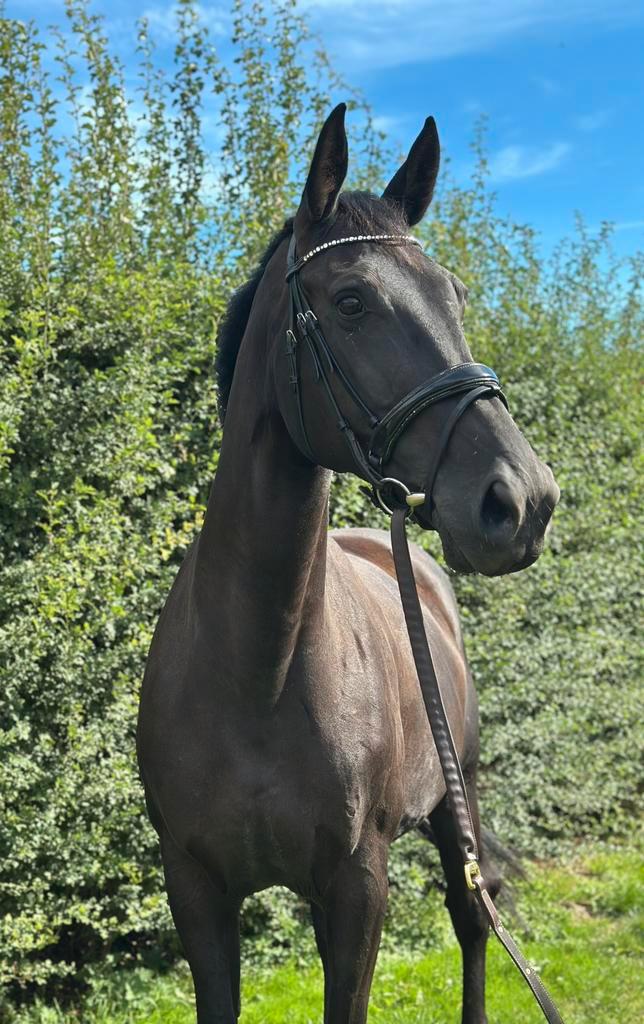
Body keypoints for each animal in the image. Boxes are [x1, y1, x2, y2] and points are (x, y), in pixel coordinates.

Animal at [137, 104, 559, 1024]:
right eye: (352, 301)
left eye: (456, 297)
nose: (522, 500)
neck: (256, 673)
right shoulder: (197, 891)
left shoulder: (359, 886)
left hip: (457, 802)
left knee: (473, 918)